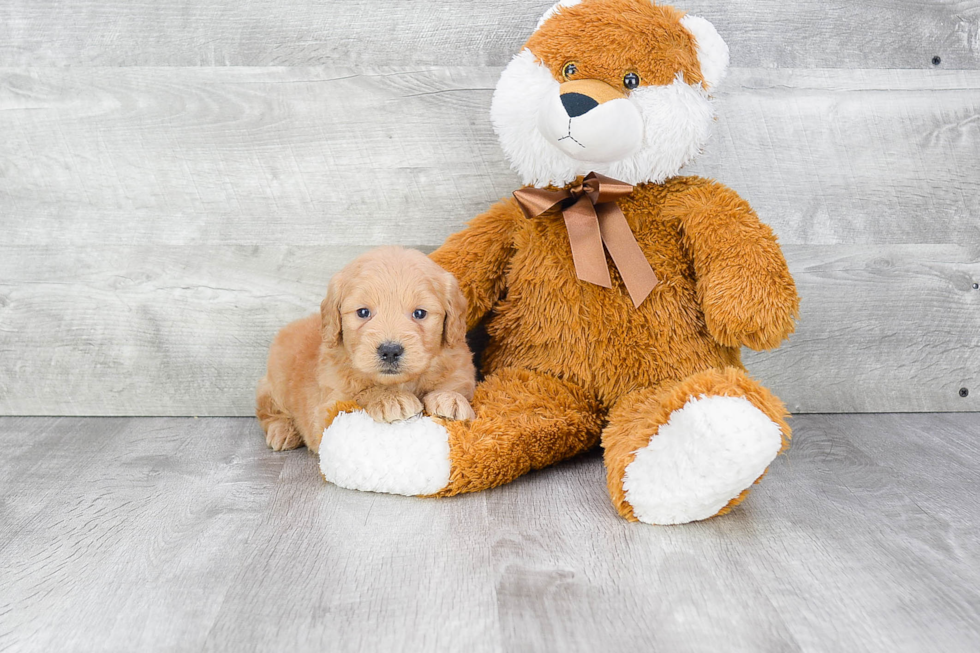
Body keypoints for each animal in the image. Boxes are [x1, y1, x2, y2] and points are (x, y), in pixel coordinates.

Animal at [256, 244, 478, 454]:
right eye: (363, 312)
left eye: (420, 313)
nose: (390, 350)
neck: (401, 382)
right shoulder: (330, 406)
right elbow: (360, 392)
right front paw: (390, 398)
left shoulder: (460, 367)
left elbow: (455, 383)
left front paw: (450, 398)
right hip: (274, 385)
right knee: (269, 413)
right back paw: (282, 431)